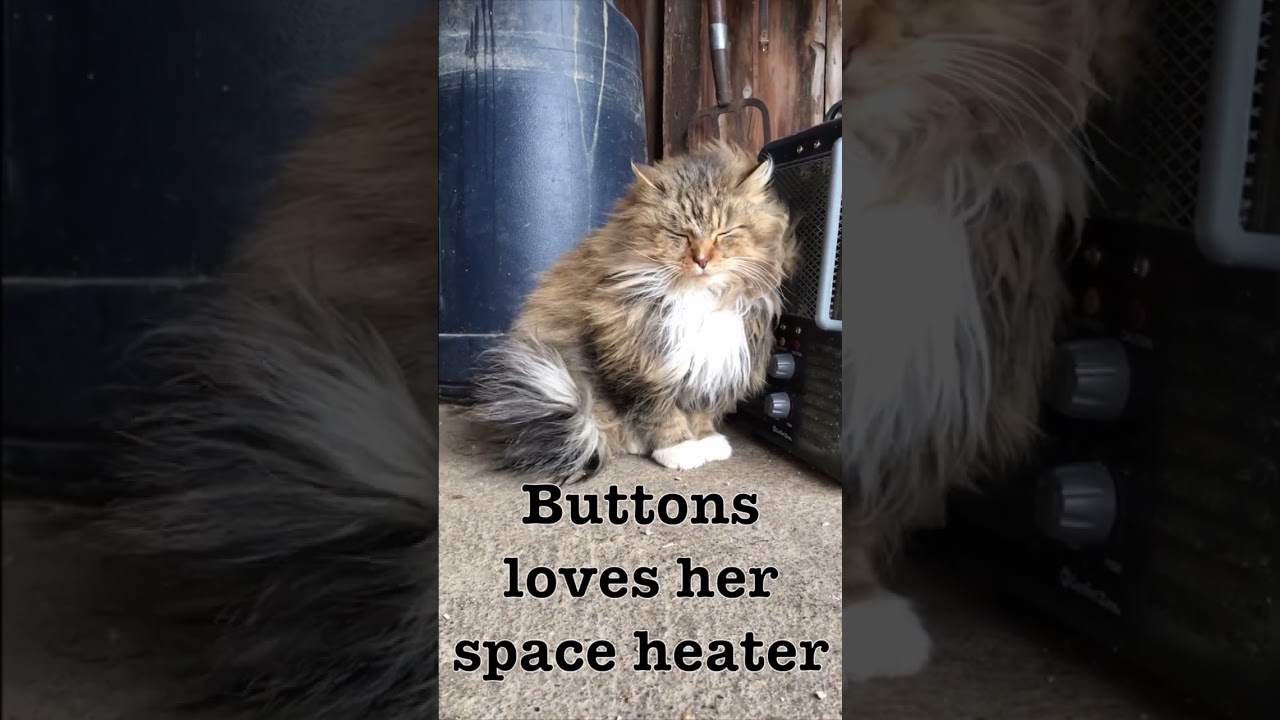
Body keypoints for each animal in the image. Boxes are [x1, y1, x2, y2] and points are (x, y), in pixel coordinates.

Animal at [469, 141, 796, 483]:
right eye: (680, 235)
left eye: (724, 233)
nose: (702, 260)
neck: (698, 297)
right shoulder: (640, 364)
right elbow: (660, 413)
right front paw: (679, 448)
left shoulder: (712, 365)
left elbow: (701, 410)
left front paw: (706, 439)